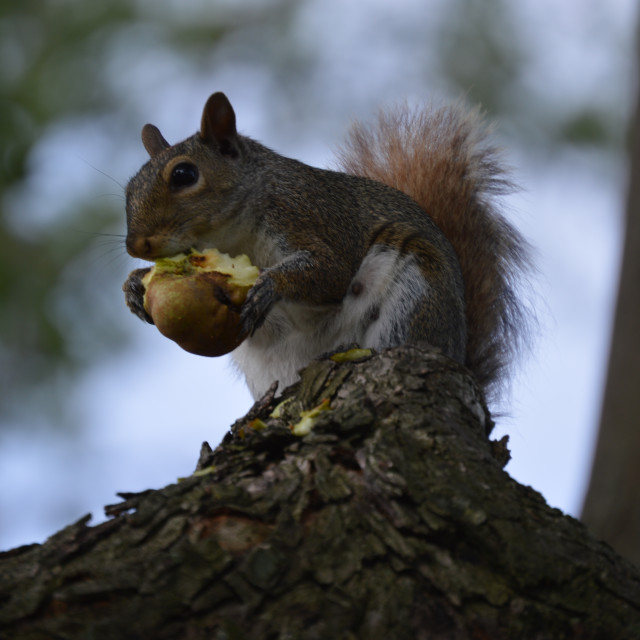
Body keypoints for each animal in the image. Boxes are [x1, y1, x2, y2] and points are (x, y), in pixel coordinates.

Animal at [124, 91, 528, 404]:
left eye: (184, 175)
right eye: (129, 187)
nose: (135, 246)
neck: (232, 236)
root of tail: (458, 353)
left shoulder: (309, 216)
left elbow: (331, 272)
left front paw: (270, 285)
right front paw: (134, 284)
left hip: (416, 293)